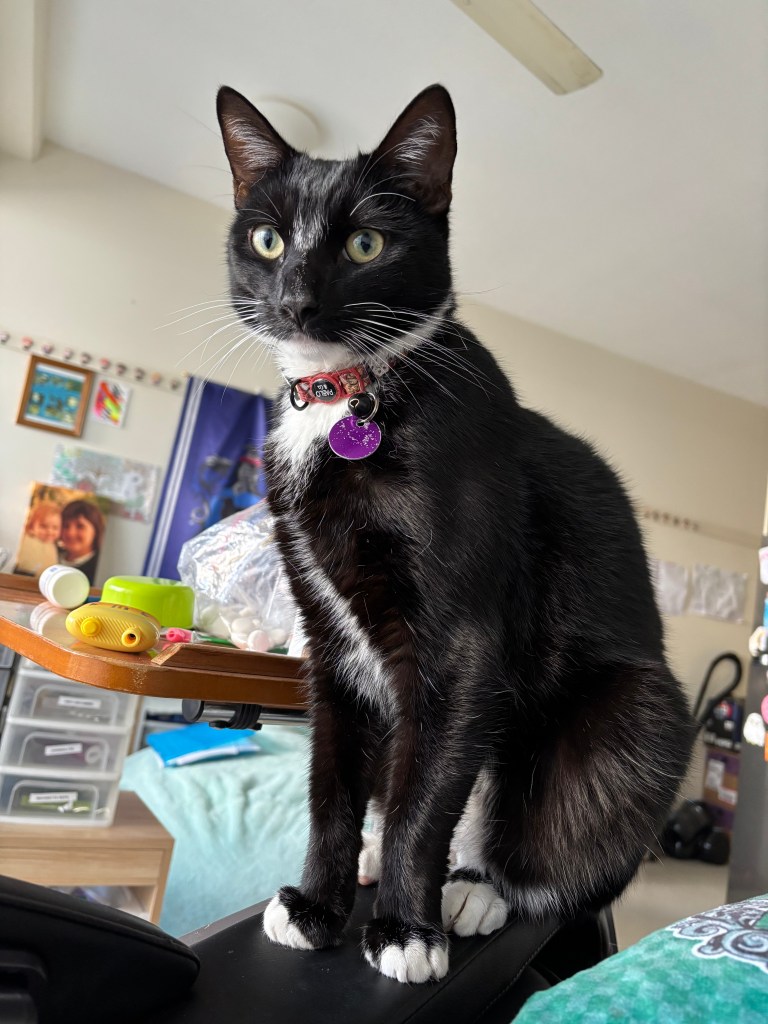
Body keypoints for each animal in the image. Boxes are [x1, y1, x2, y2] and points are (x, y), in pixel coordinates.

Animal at [216, 83, 694, 984]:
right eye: (267, 239)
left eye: (366, 243)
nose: (294, 300)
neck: (346, 396)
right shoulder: (327, 638)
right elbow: (332, 780)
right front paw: (320, 904)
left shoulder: (463, 638)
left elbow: (426, 795)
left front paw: (407, 929)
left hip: (635, 717)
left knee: (555, 849)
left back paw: (474, 889)